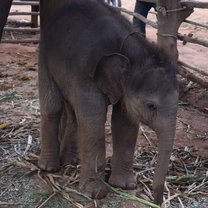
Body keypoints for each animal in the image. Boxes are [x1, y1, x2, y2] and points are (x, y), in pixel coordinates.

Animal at [38, 0, 179, 205]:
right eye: (151, 105)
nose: (157, 201)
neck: (131, 52)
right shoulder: (86, 74)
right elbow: (94, 120)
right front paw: (95, 193)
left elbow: (125, 121)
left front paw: (125, 186)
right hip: (44, 55)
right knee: (53, 106)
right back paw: (49, 168)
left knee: (72, 112)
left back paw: (71, 161)